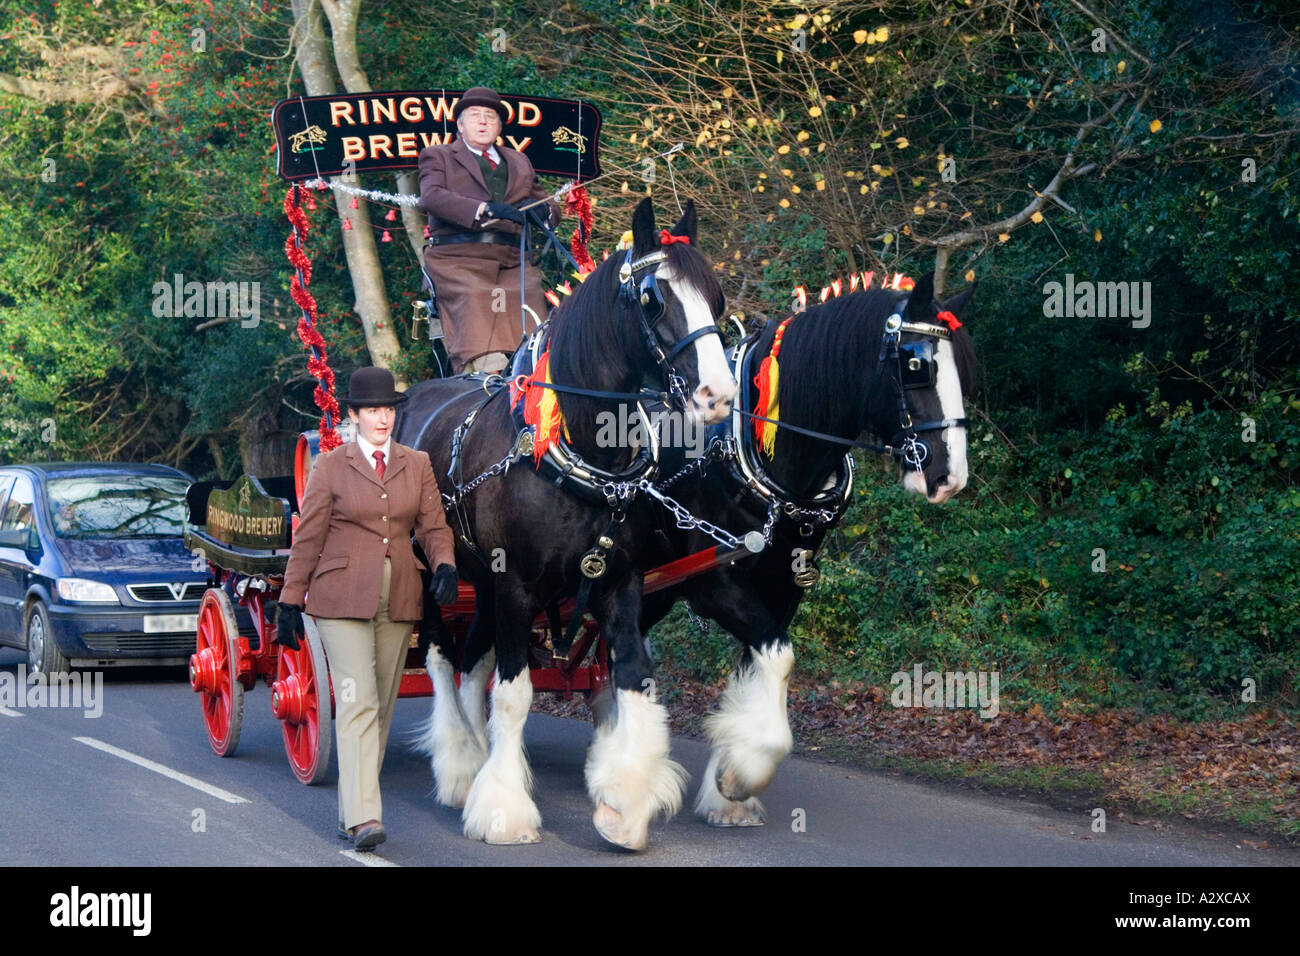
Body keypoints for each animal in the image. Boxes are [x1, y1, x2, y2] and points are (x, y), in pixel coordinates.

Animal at [395, 197, 738, 848]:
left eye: (717, 296)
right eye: (653, 298)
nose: (719, 396)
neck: (580, 450)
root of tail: (407, 401)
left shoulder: (619, 581)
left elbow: (632, 675)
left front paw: (624, 805)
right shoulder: (516, 586)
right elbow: (514, 695)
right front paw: (504, 810)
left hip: (482, 583)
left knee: (473, 660)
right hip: (432, 572)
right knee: (441, 657)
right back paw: (460, 766)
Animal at [639, 273, 977, 827]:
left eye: (965, 370)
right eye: (916, 366)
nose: (951, 478)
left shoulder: (782, 589)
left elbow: (754, 670)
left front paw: (728, 786)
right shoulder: (715, 584)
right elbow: (779, 659)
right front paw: (745, 773)